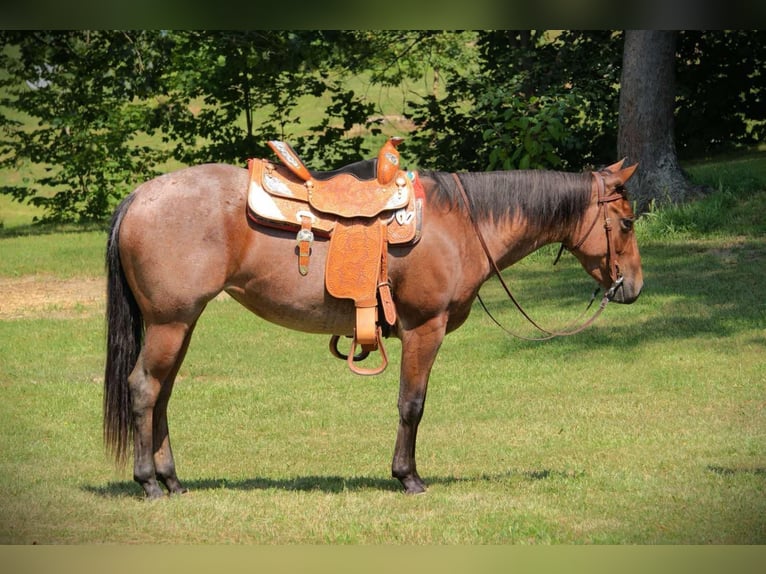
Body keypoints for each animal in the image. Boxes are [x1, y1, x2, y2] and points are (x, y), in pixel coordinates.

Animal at [103, 157, 643, 498]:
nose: (633, 286)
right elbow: (412, 405)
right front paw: (408, 477)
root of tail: (139, 195)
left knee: (162, 395)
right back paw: (148, 482)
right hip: (170, 323)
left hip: (179, 324)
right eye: (627, 222)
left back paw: (173, 481)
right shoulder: (425, 329)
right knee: (144, 389)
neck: (461, 224)